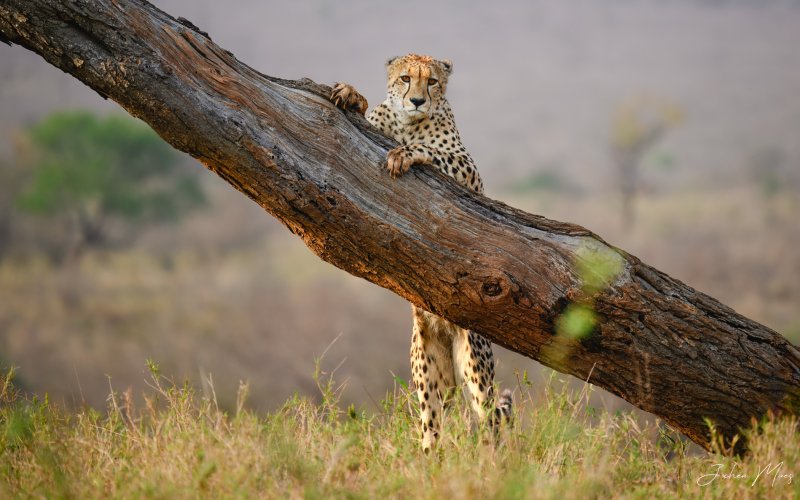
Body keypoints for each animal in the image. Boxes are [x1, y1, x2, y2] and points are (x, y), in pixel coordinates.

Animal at [330, 52, 512, 452]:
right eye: (404, 78)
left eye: (432, 81)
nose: (416, 100)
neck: (408, 124)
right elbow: (368, 114)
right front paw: (352, 94)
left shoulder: (468, 172)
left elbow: (432, 151)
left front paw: (406, 154)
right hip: (428, 374)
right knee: (432, 426)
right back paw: (428, 458)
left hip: (474, 363)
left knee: (489, 419)